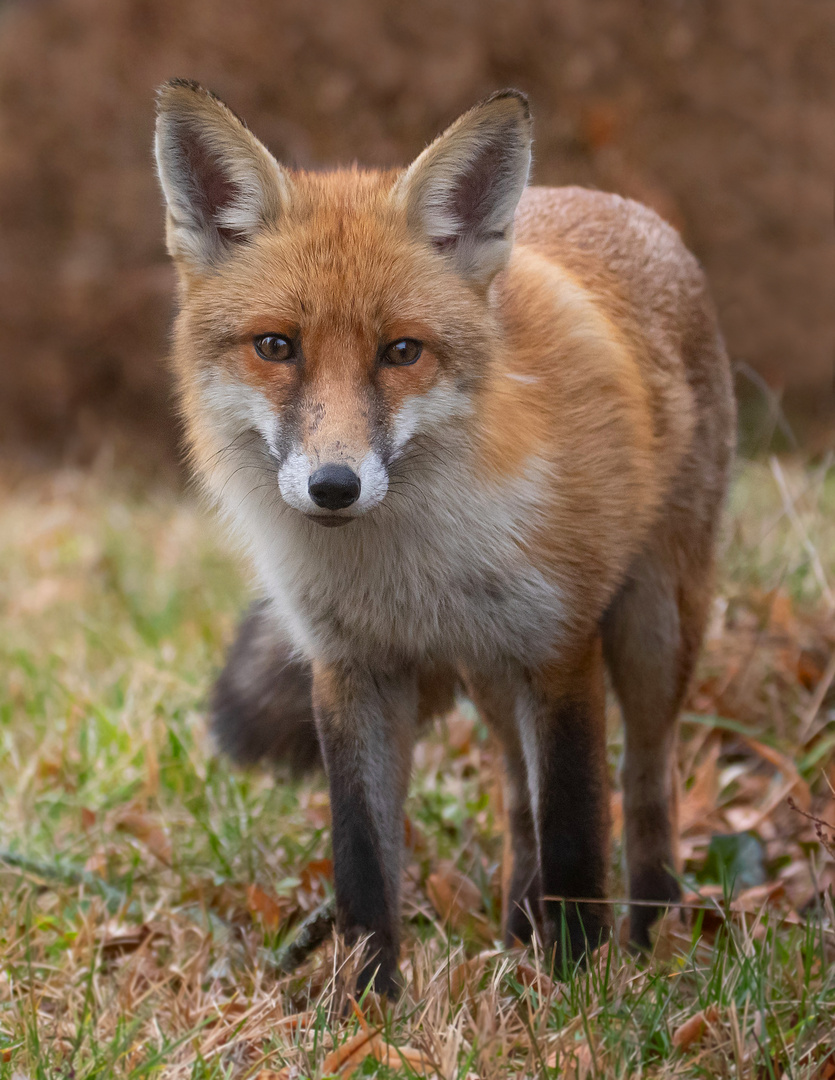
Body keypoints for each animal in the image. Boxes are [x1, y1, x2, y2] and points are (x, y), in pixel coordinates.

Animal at [154, 82, 730, 993]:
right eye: (276, 346)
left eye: (402, 351)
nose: (334, 485)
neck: (408, 565)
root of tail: (627, 208)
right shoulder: (351, 667)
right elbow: (363, 861)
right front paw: (365, 1003)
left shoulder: (560, 648)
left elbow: (576, 832)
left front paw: (579, 994)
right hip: (490, 675)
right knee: (516, 800)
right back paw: (518, 931)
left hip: (651, 631)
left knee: (645, 785)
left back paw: (649, 935)